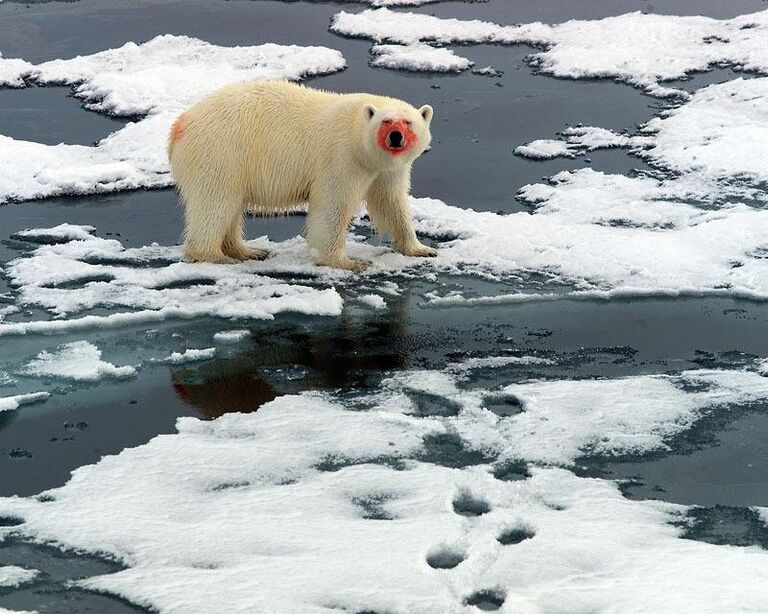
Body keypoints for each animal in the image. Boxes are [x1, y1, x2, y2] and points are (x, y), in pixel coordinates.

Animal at [170, 78, 438, 270]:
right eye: (386, 121)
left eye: (408, 122)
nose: (396, 136)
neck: (355, 130)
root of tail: (179, 126)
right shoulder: (341, 156)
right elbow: (332, 205)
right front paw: (349, 262)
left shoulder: (386, 169)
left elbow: (390, 202)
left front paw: (421, 249)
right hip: (221, 153)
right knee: (215, 204)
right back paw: (214, 255)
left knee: (230, 208)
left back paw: (248, 251)